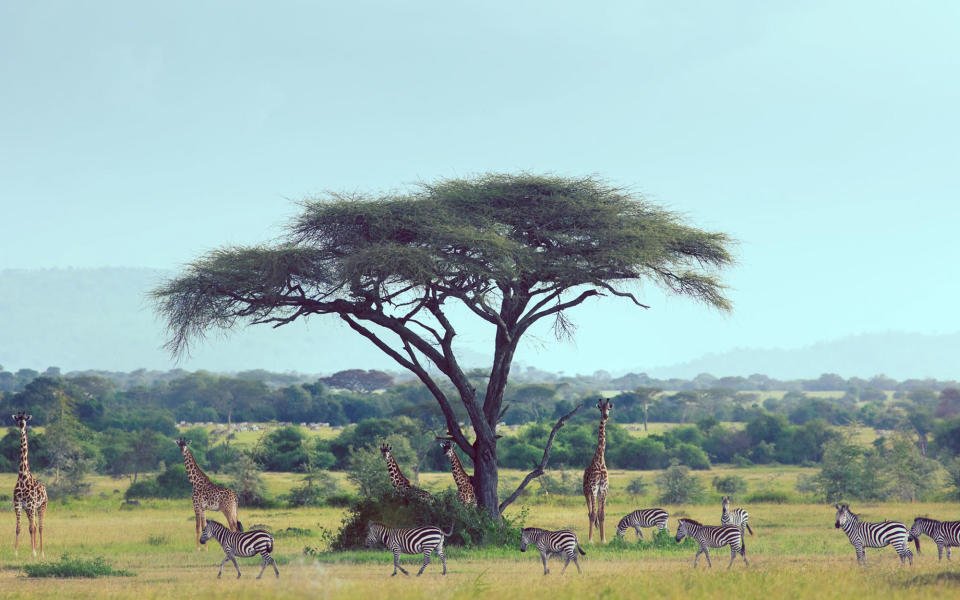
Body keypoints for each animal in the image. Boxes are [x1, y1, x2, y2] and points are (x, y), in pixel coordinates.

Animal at [11, 412, 47, 556]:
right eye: (18, 420)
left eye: (25, 420)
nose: (21, 426)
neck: (23, 477)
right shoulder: (19, 505)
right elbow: (18, 527)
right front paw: (15, 552)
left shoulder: (31, 505)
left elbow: (32, 528)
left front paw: (33, 553)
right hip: (29, 509)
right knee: (35, 525)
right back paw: (36, 549)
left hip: (42, 506)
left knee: (40, 527)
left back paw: (41, 553)